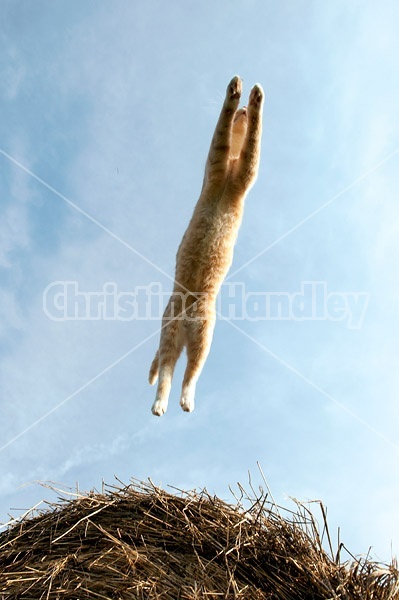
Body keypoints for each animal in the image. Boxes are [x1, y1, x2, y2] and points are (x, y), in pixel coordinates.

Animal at [148, 75, 264, 414]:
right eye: (239, 113)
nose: (243, 110)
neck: (231, 166)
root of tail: (188, 325)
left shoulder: (246, 169)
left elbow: (253, 142)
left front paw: (254, 99)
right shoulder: (218, 155)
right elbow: (224, 128)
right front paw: (237, 92)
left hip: (203, 338)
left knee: (190, 373)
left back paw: (185, 401)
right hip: (171, 333)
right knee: (167, 372)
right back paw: (160, 405)